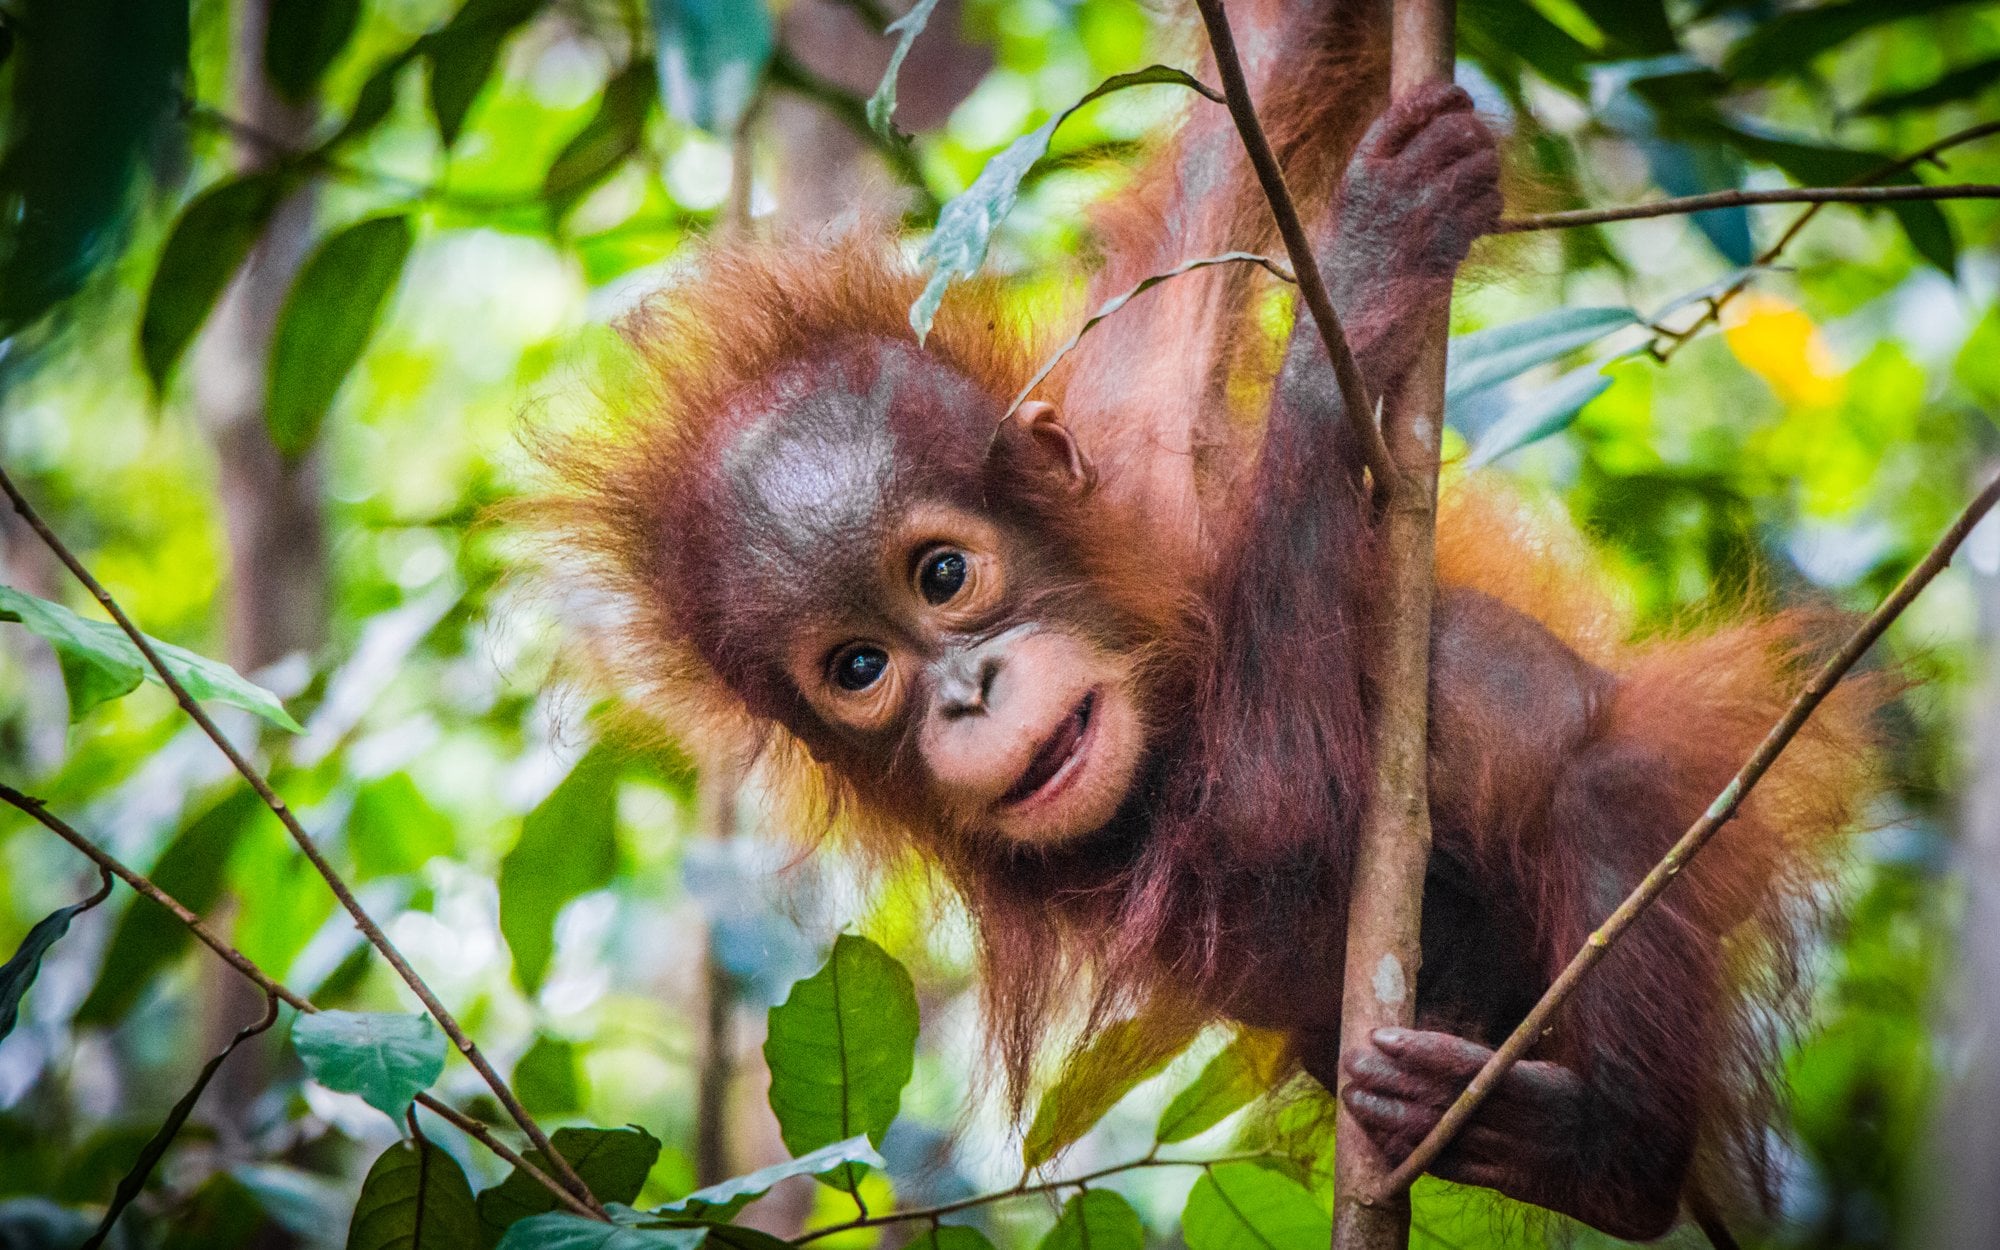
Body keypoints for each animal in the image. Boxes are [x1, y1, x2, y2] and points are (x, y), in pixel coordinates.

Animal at [525, 1, 1878, 1239]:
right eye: (858, 666)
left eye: (943, 575)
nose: (964, 692)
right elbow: (1275, 818)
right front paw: (1354, 293)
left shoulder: (1136, 406)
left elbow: (1263, 92)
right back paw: (1594, 1150)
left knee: (1600, 774)